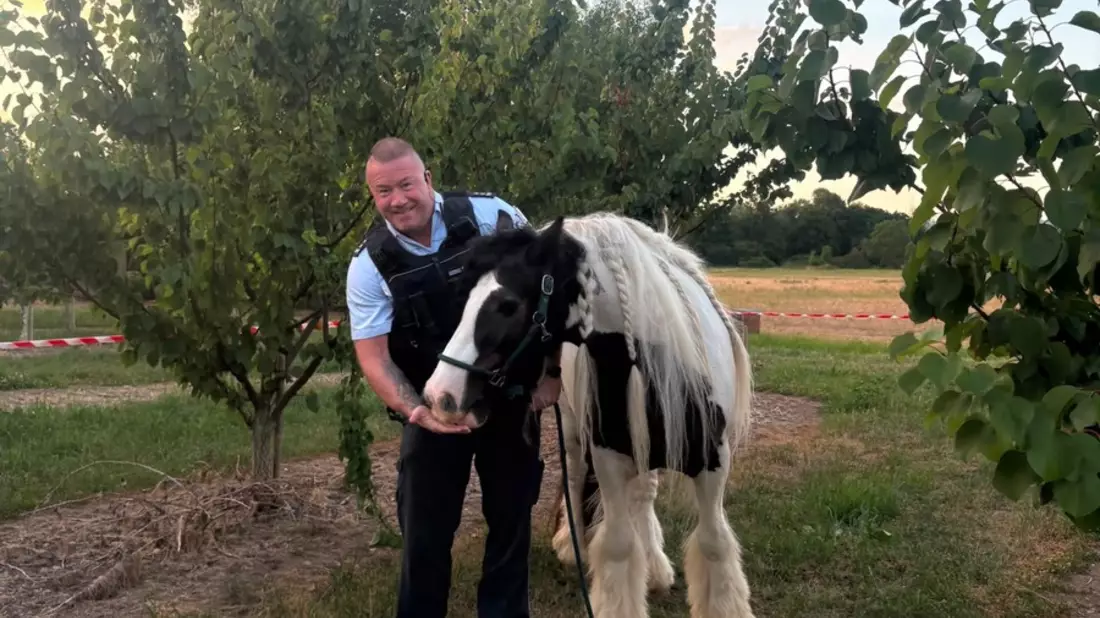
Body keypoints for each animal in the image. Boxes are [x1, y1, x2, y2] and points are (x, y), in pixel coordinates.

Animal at [421, 212, 756, 618]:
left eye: (508, 305)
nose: (441, 395)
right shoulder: (607, 457)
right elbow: (618, 544)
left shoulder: (713, 461)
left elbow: (713, 542)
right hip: (575, 432)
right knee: (577, 477)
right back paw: (572, 545)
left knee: (643, 494)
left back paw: (654, 566)